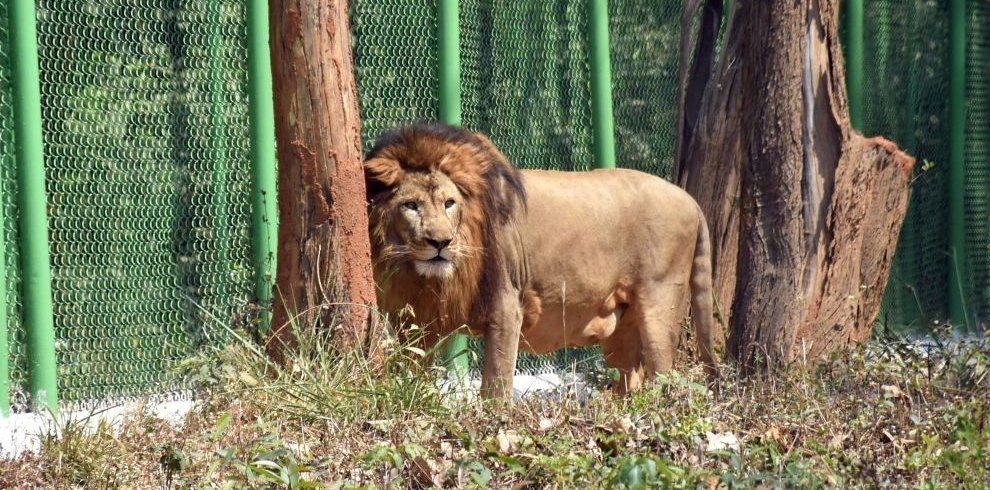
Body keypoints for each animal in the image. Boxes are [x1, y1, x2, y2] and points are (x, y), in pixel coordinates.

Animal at [364, 121, 720, 398]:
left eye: (449, 203)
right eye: (411, 205)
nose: (440, 242)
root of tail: (690, 199)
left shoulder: (507, 305)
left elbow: (495, 384)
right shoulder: (417, 318)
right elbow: (412, 368)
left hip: (660, 304)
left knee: (665, 375)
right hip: (622, 324)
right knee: (631, 377)